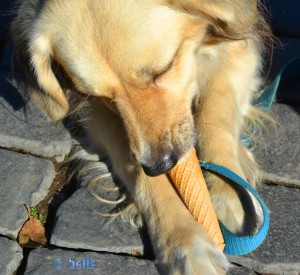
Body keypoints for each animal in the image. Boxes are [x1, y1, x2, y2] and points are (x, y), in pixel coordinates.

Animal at [11, 1, 270, 274]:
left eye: (163, 69)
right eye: (101, 95)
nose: (159, 166)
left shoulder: (240, 40)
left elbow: (216, 110)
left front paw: (229, 194)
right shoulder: (95, 108)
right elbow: (134, 166)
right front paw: (185, 242)